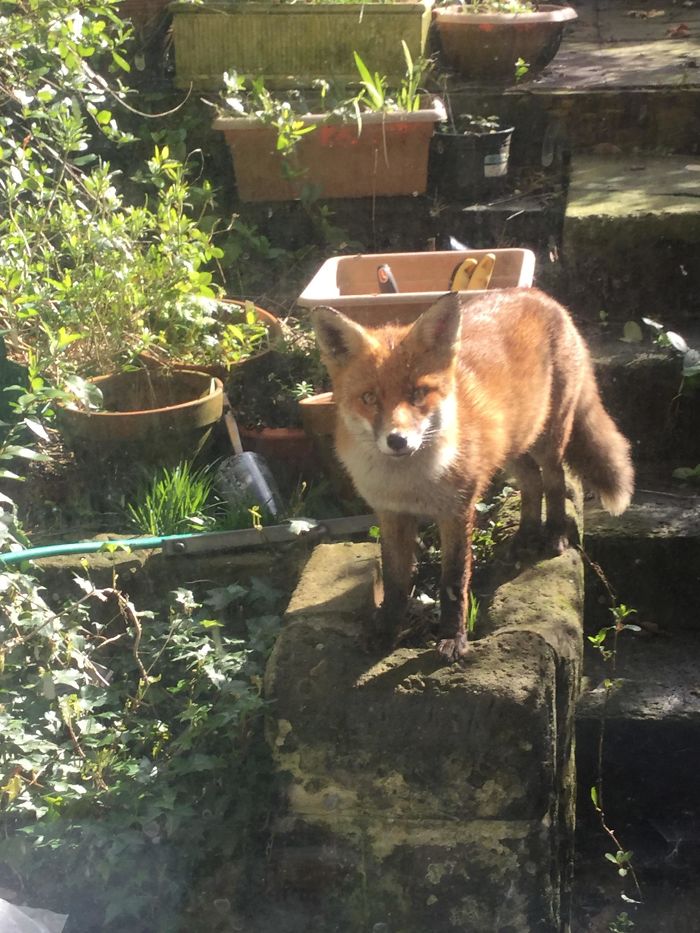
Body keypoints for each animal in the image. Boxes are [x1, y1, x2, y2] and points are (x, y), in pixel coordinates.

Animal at [312, 288, 634, 662]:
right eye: (369, 398)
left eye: (418, 393)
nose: (397, 441)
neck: (410, 483)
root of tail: (539, 295)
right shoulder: (391, 514)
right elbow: (394, 584)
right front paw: (386, 633)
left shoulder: (456, 511)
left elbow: (453, 581)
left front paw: (453, 639)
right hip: (512, 450)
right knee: (532, 483)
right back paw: (524, 537)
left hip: (548, 439)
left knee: (554, 481)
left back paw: (553, 534)